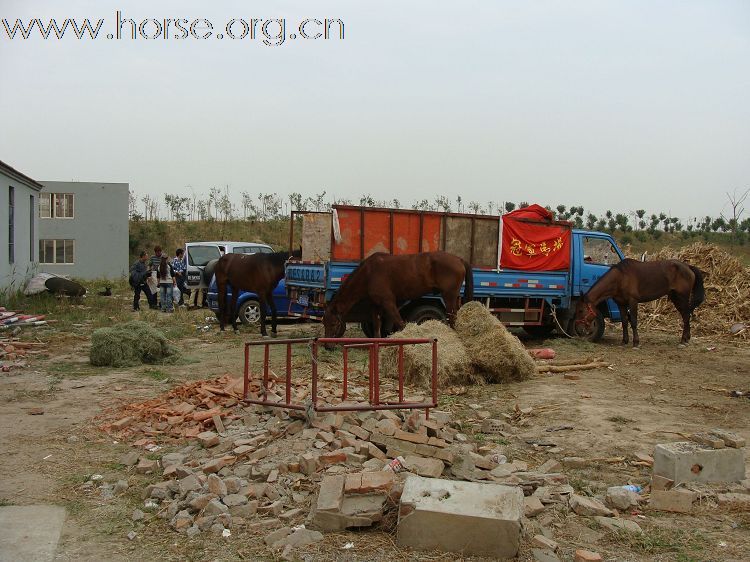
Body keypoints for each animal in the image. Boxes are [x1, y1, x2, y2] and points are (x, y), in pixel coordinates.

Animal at [324, 250, 476, 342]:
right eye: (324, 323)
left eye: (333, 324)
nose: (327, 345)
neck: (369, 273)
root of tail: (459, 259)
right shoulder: (376, 305)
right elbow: (377, 326)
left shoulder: (388, 302)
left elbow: (401, 324)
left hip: (449, 297)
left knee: (452, 318)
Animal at [576, 258, 704, 346]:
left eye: (581, 310)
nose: (580, 329)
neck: (620, 278)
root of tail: (688, 267)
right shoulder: (621, 304)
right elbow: (624, 322)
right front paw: (624, 341)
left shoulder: (633, 301)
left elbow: (633, 321)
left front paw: (636, 342)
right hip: (675, 298)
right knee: (685, 316)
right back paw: (686, 338)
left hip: (682, 297)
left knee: (686, 316)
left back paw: (683, 340)